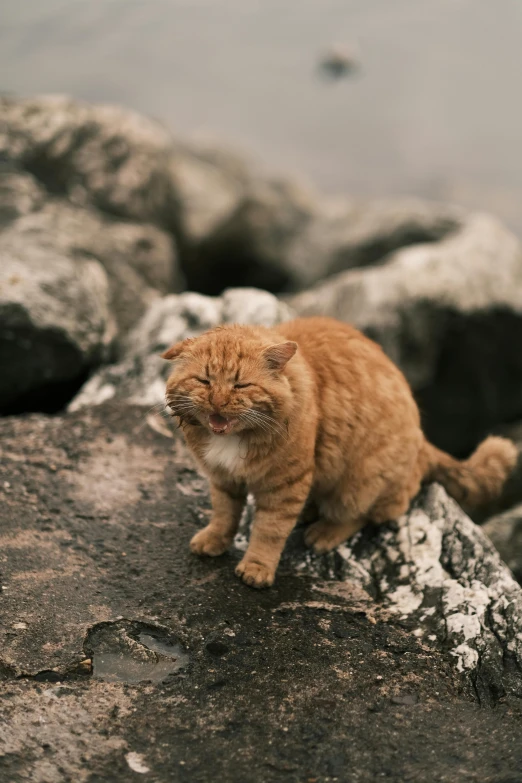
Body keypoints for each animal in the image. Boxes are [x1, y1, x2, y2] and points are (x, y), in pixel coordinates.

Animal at [164, 316, 516, 584]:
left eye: (240, 385)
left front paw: (257, 567)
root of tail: (421, 439)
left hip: (361, 483)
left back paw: (323, 532)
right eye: (204, 381)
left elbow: (269, 530)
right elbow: (224, 513)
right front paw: (214, 539)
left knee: (365, 514)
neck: (234, 437)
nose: (218, 402)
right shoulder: (223, 478)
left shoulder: (285, 485)